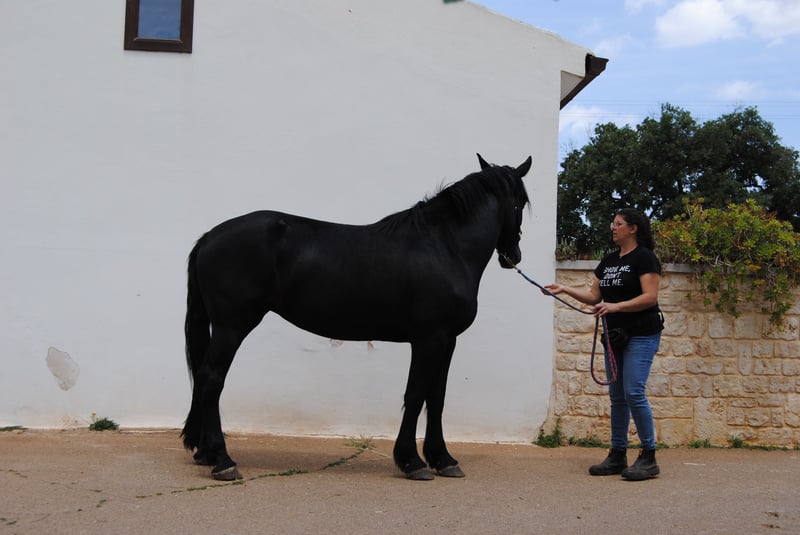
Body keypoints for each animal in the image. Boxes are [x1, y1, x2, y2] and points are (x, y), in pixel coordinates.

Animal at [182, 154, 532, 481]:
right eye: (521, 203)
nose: (512, 256)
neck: (444, 247)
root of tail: (209, 237)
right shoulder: (428, 339)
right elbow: (415, 394)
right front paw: (412, 461)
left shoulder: (448, 341)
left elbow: (436, 397)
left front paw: (443, 459)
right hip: (232, 326)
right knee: (211, 378)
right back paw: (223, 460)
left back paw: (207, 453)